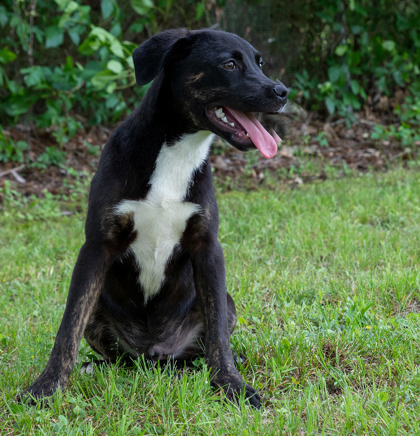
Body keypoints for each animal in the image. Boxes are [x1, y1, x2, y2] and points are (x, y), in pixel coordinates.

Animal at [18, 28, 288, 408]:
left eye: (259, 63)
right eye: (229, 64)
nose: (282, 92)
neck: (177, 152)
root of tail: (153, 353)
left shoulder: (208, 247)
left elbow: (218, 334)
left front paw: (231, 384)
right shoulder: (96, 247)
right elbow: (67, 327)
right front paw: (46, 387)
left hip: (225, 305)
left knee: (203, 343)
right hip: (102, 314)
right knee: (114, 355)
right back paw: (95, 366)